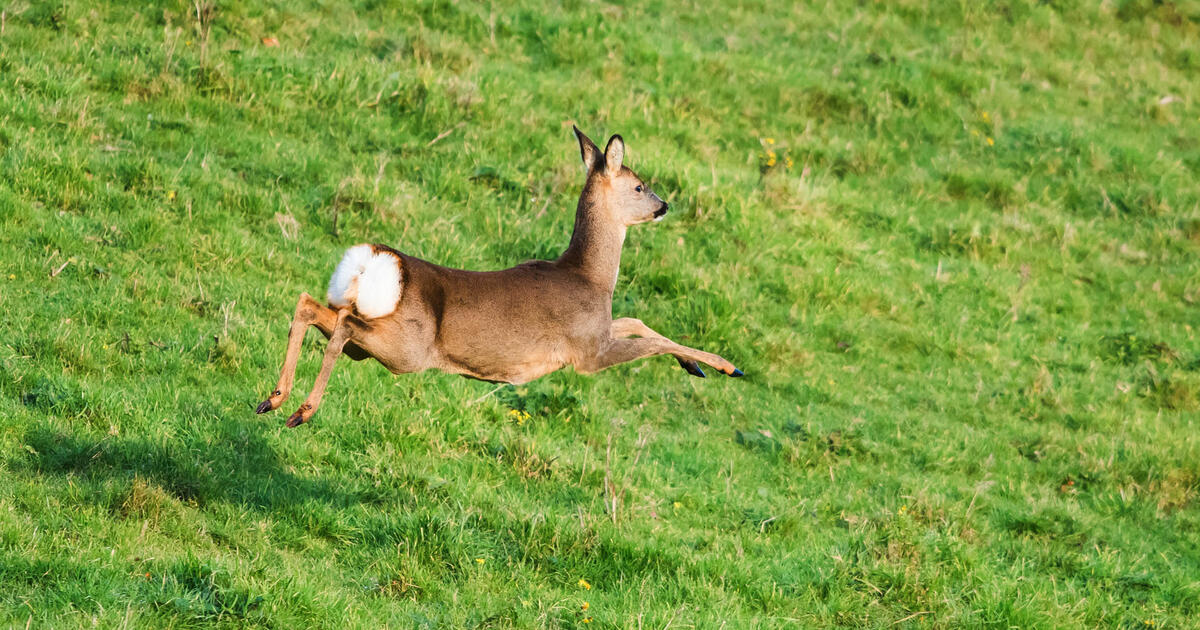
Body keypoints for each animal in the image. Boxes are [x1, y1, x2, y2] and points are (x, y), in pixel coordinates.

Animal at [255, 124, 739, 424]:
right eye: (639, 185)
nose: (664, 205)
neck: (592, 279)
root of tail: (374, 262)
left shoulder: (598, 332)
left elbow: (638, 321)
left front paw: (696, 367)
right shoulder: (587, 353)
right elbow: (653, 342)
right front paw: (726, 366)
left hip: (363, 326)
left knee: (311, 306)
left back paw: (273, 400)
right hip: (405, 349)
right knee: (342, 327)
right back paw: (301, 411)